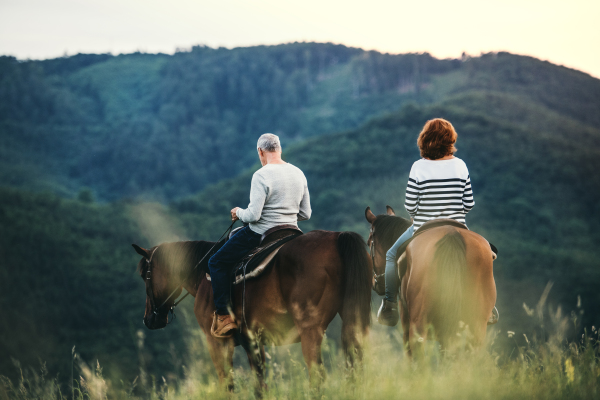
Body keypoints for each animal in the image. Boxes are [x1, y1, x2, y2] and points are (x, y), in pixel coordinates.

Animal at [132, 230, 370, 392]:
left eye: (144, 274)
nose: (148, 319)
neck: (204, 275)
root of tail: (336, 237)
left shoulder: (217, 343)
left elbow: (227, 385)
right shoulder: (252, 342)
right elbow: (260, 385)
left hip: (310, 330)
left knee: (318, 375)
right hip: (351, 322)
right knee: (354, 365)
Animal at [366, 208, 496, 352]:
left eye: (369, 243)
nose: (375, 283)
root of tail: (452, 235)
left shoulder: (406, 325)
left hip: (418, 326)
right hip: (476, 328)